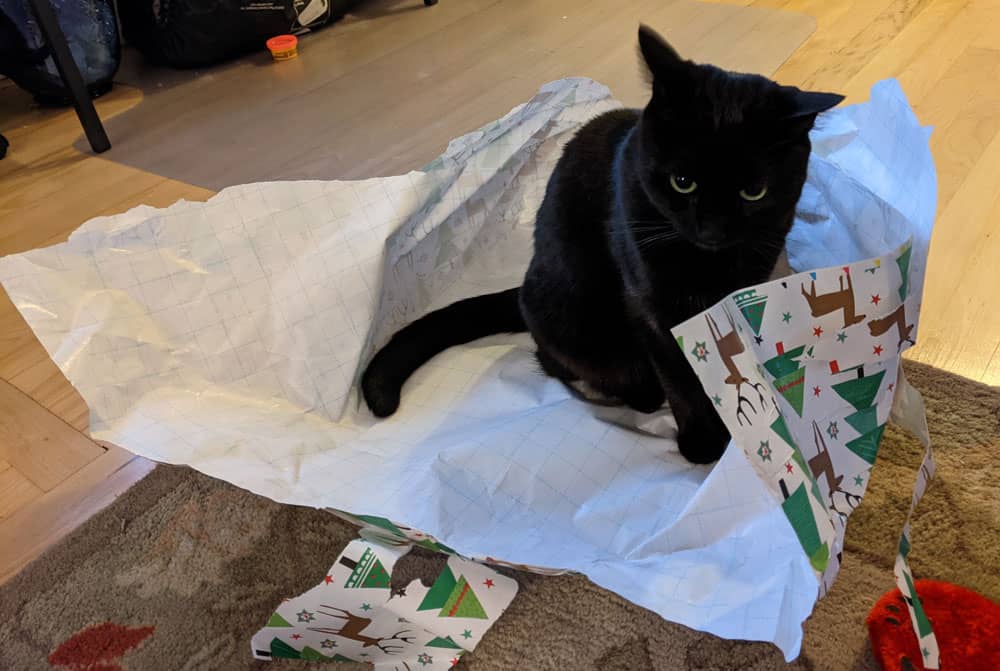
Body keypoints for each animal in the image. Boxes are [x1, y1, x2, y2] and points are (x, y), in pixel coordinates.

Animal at [362, 28, 844, 464]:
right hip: (570, 316)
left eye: (753, 192)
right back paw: (639, 393)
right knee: (557, 360)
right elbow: (683, 380)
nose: (711, 230)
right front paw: (704, 443)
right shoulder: (650, 311)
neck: (706, 266)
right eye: (681, 181)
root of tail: (524, 283)